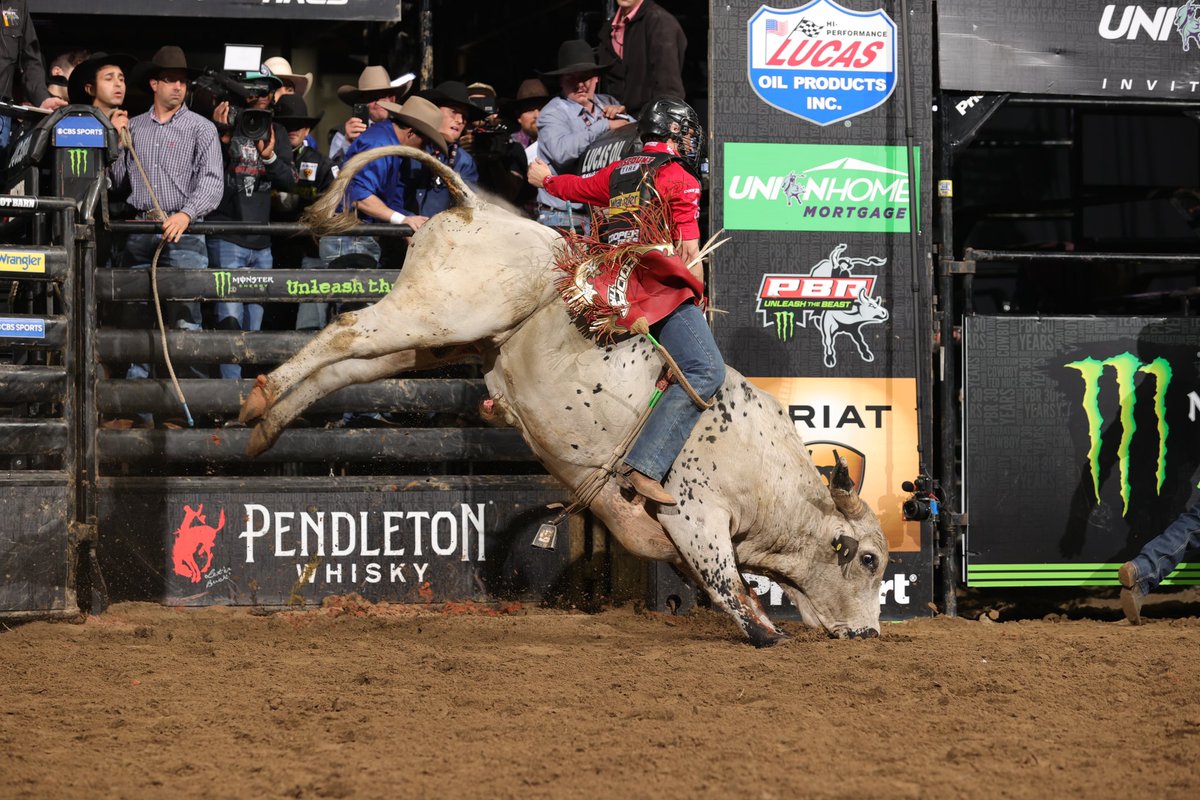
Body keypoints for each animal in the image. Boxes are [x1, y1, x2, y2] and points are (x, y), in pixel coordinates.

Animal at [238, 145, 888, 642]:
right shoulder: (696, 513)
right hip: (436, 314)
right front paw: (765, 629)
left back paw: (264, 424)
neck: (768, 473)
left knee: (343, 369)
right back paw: (260, 399)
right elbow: (725, 583)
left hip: (439, 341)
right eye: (869, 560)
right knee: (345, 330)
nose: (870, 633)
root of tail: (473, 205)